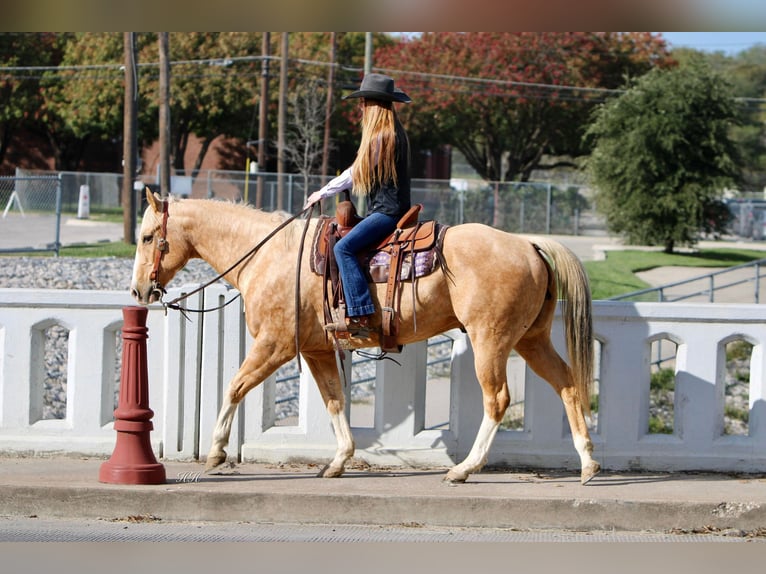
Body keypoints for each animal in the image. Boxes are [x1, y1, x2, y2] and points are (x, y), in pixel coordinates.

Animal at [130, 192, 600, 486]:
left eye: (148, 236)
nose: (138, 291)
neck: (268, 256)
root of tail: (529, 244)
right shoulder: (317, 349)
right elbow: (334, 401)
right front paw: (339, 461)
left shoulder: (274, 345)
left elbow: (234, 386)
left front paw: (215, 452)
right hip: (531, 340)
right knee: (567, 384)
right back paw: (588, 463)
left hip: (491, 340)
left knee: (498, 399)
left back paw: (464, 469)